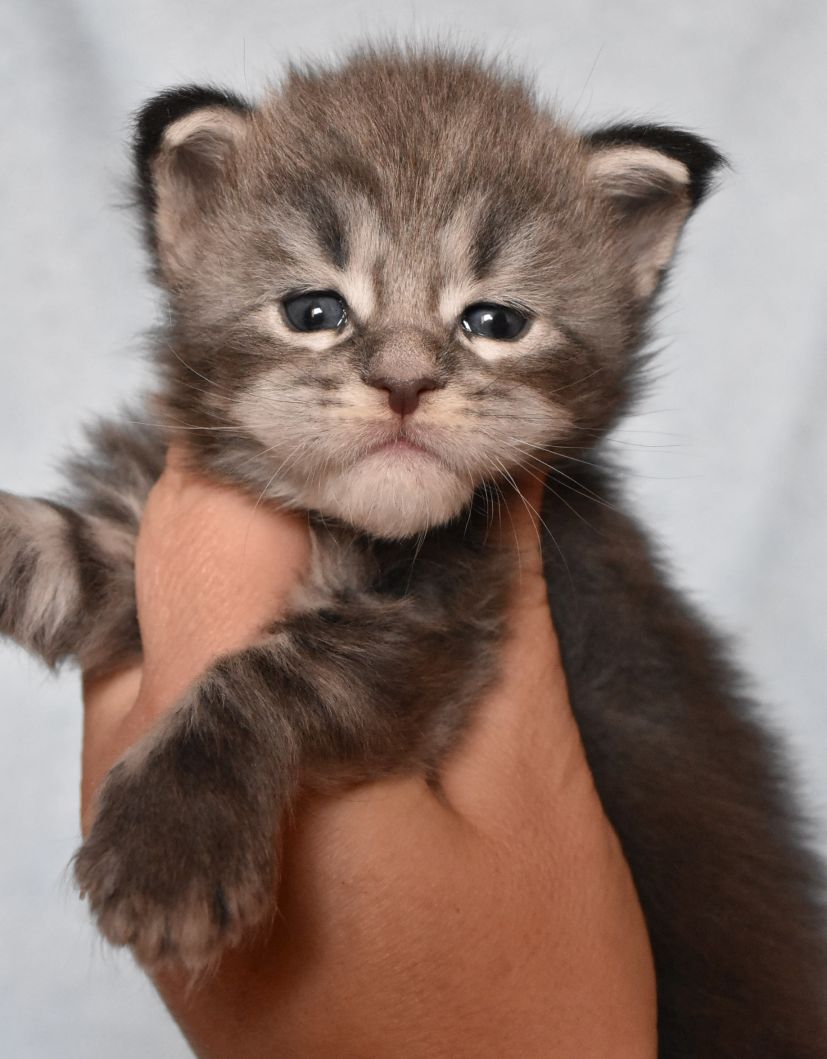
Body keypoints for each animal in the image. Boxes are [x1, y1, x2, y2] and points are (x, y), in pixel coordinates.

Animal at [1, 47, 826, 1056]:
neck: (336, 517)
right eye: (313, 310)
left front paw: (172, 839)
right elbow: (69, 555)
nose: (403, 382)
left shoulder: (437, 625)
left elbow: (269, 675)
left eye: (495, 323)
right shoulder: (139, 563)